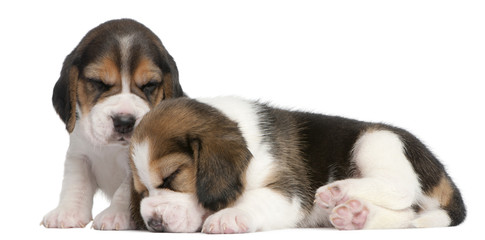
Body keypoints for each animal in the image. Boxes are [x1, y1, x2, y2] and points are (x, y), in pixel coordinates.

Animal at [41, 18, 184, 231]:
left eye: (149, 85)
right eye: (98, 82)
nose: (124, 121)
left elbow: (124, 191)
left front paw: (114, 215)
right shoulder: (79, 154)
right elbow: (76, 183)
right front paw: (67, 212)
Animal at [129, 97, 466, 232]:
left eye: (172, 177)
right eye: (141, 190)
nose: (153, 223)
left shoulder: (289, 193)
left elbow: (253, 199)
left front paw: (229, 217)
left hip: (377, 141)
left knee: (402, 189)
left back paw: (339, 191)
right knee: (407, 214)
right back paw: (356, 215)